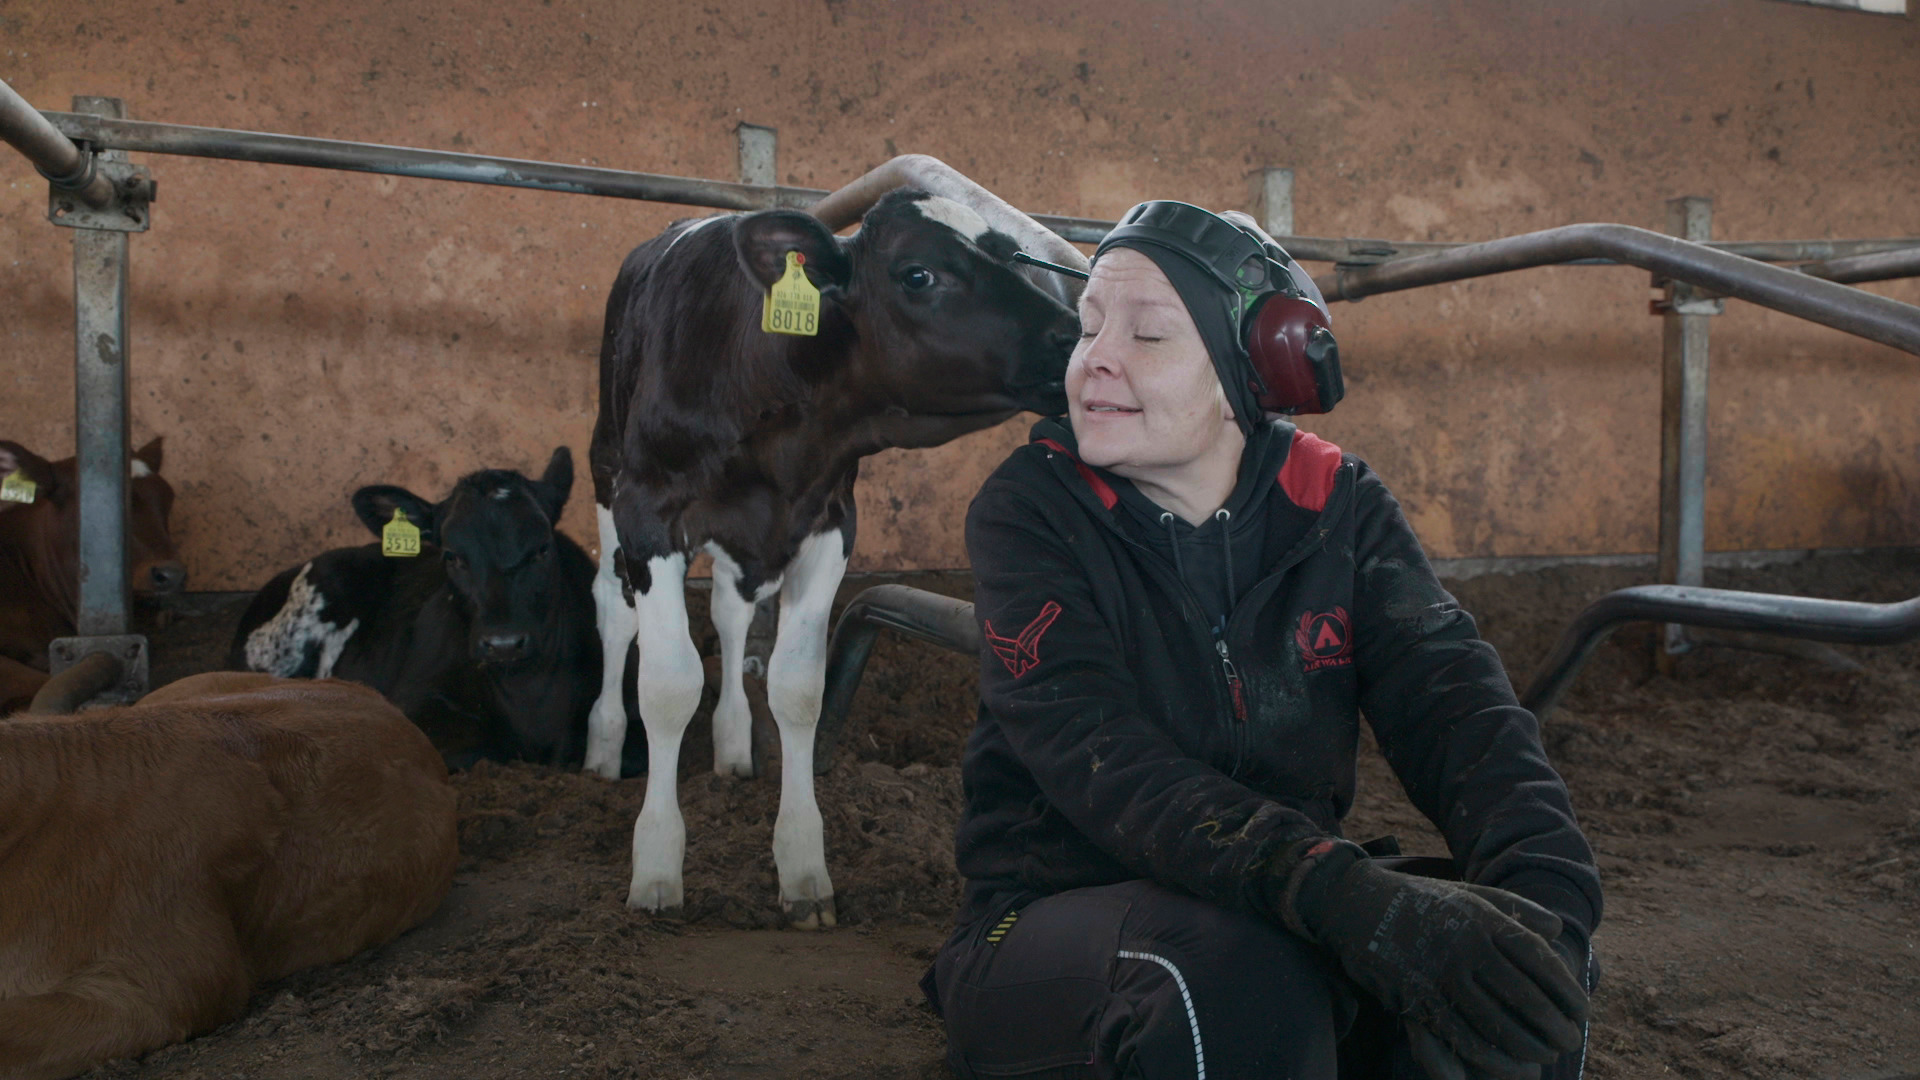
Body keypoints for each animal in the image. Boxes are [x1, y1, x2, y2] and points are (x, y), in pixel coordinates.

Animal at [228, 447, 638, 773]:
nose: (503, 643)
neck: (528, 695)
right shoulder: (416, 703)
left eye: (542, 548)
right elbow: (477, 752)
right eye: (451, 555)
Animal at [587, 186, 1082, 928]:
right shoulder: (648, 512)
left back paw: (733, 744)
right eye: (918, 274)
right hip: (605, 464)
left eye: (1010, 254)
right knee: (614, 613)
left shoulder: (829, 524)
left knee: (732, 616)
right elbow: (669, 684)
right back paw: (603, 746)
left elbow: (799, 689)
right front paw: (655, 869)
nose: (1073, 333)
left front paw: (803, 869)